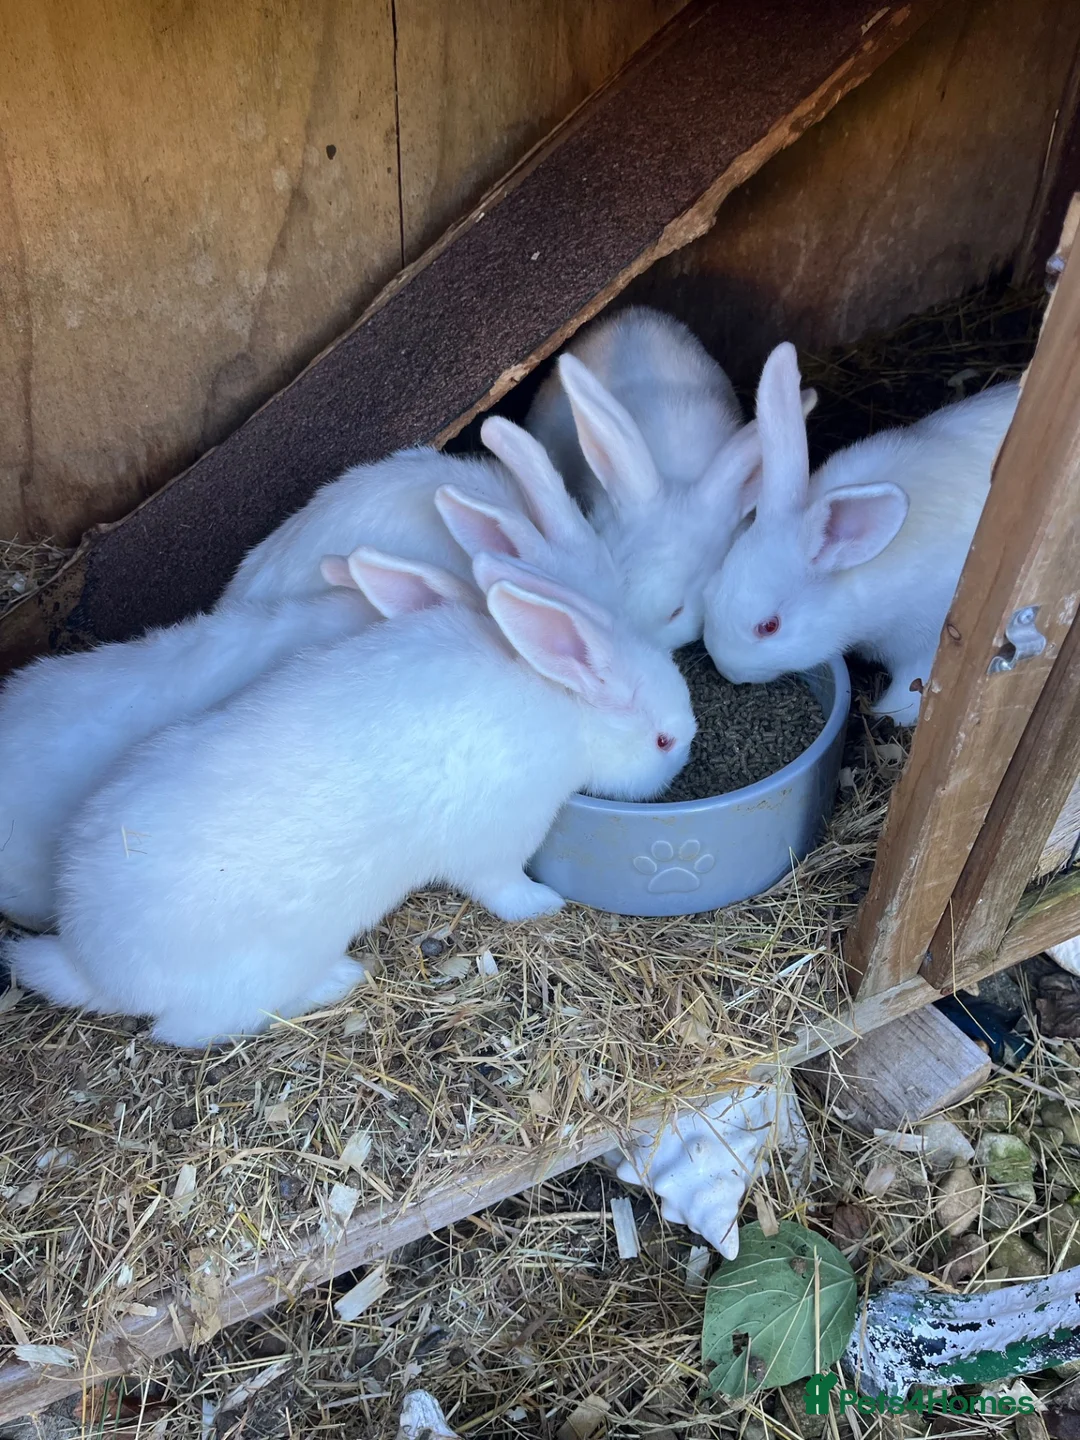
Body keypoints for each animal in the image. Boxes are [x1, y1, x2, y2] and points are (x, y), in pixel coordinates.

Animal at [702, 341, 1021, 726]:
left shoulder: (925, 645)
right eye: (713, 586)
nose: (727, 670)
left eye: (769, 626)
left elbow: (911, 688)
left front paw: (888, 714)